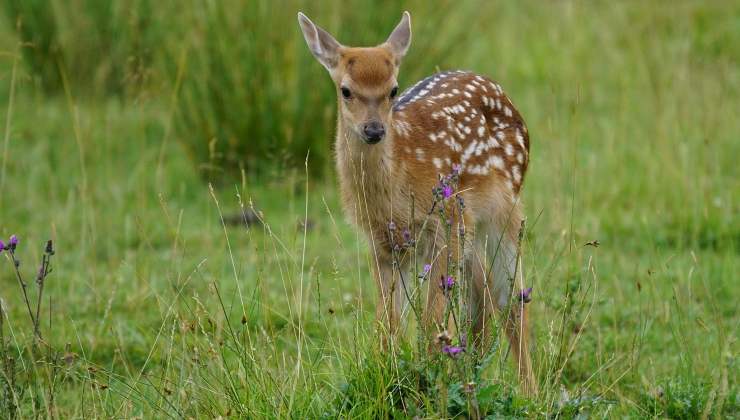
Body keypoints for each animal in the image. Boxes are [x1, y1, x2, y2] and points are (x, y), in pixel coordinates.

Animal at [300, 12, 536, 394]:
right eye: (345, 90)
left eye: (393, 89)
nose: (374, 130)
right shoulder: (382, 242)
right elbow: (387, 325)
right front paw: (390, 377)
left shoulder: (447, 222)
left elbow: (430, 324)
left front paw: (429, 383)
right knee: (482, 293)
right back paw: (476, 372)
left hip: (505, 209)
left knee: (512, 301)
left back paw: (530, 393)